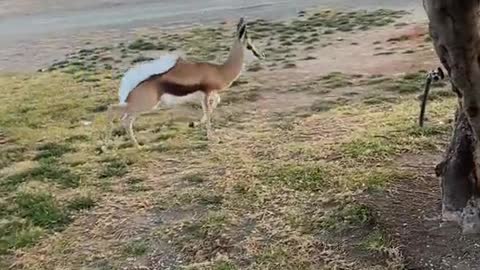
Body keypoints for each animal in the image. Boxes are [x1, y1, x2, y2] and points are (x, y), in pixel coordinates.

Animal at [106, 17, 262, 149]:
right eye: (249, 46)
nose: (261, 56)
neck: (220, 71)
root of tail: (128, 85)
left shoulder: (210, 95)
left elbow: (213, 106)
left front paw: (194, 124)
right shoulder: (207, 94)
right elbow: (208, 113)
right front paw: (212, 138)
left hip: (139, 106)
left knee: (124, 119)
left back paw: (135, 145)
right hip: (144, 105)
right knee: (114, 111)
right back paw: (114, 145)